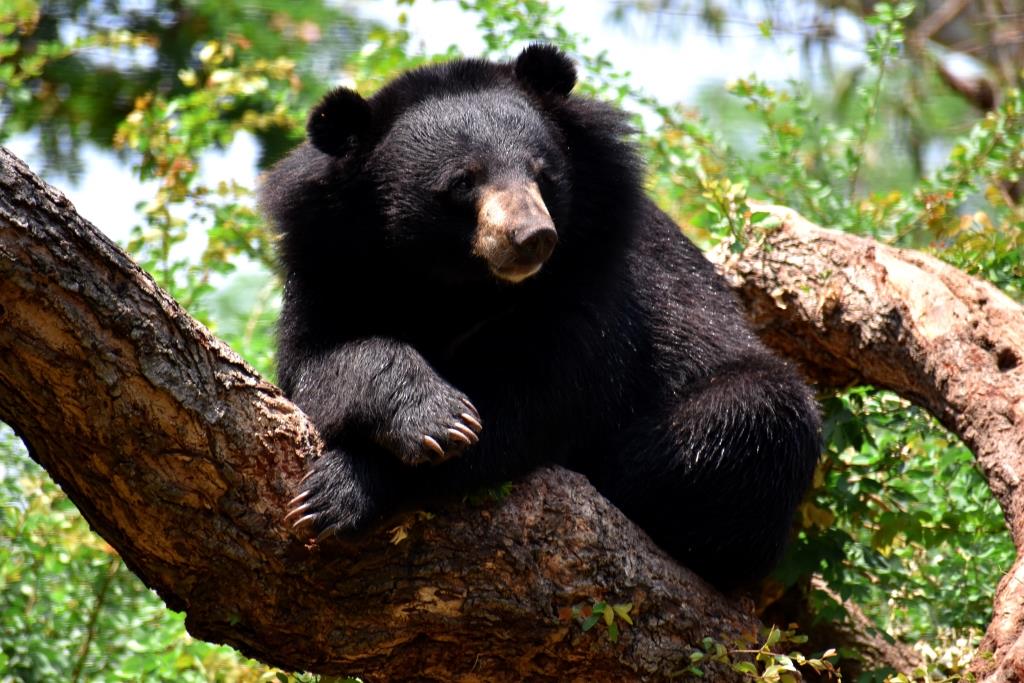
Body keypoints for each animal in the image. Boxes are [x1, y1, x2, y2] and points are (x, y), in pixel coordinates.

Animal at [260, 45, 819, 589]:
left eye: (542, 174)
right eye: (463, 182)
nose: (532, 237)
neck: (457, 283)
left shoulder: (593, 276)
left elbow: (536, 397)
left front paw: (346, 487)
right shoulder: (329, 266)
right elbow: (320, 362)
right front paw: (432, 417)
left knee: (754, 413)